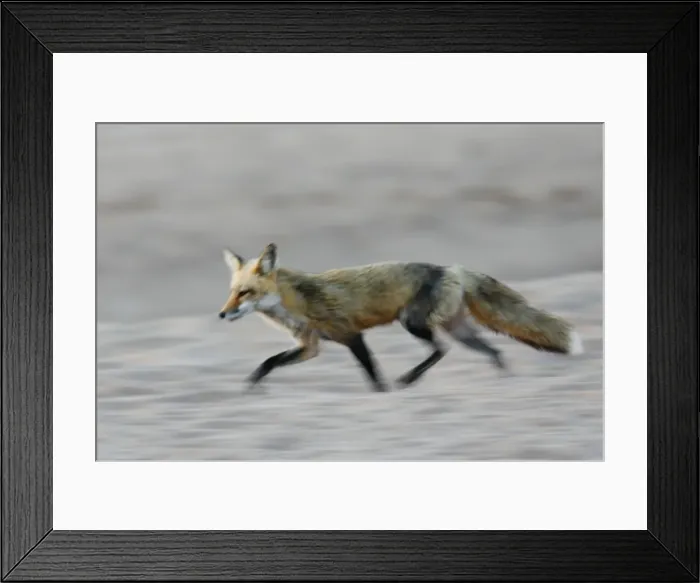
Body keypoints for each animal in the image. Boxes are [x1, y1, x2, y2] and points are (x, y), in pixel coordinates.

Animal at [218, 243, 584, 392]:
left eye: (245, 293)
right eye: (232, 290)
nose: (222, 314)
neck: (295, 302)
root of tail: (451, 268)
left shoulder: (351, 335)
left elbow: (372, 374)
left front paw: (382, 394)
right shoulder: (310, 347)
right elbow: (268, 363)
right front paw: (250, 388)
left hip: (414, 323)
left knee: (440, 350)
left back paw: (409, 379)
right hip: (460, 331)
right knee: (493, 351)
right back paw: (504, 382)